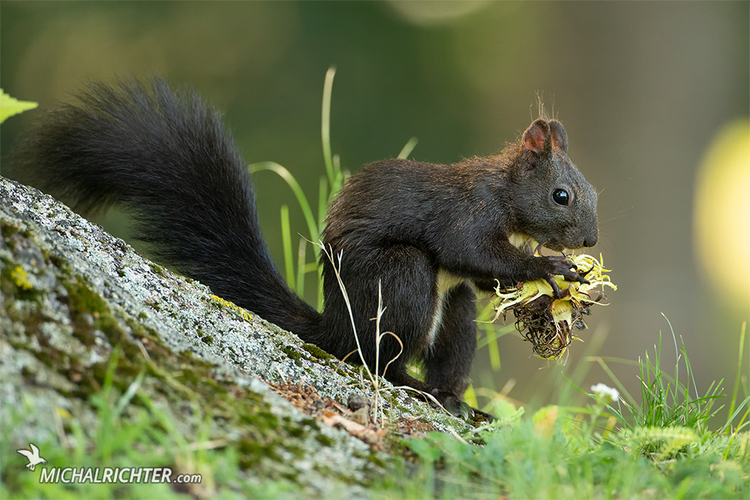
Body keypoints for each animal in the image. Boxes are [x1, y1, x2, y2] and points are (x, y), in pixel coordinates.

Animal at [8, 78, 600, 420]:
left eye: (593, 193)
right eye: (562, 195)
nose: (591, 240)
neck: (508, 195)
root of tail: (332, 326)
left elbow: (482, 278)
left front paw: (548, 291)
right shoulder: (468, 213)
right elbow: (475, 252)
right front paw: (551, 268)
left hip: (451, 314)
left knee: (444, 341)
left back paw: (455, 402)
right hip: (401, 280)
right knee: (374, 360)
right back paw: (412, 386)